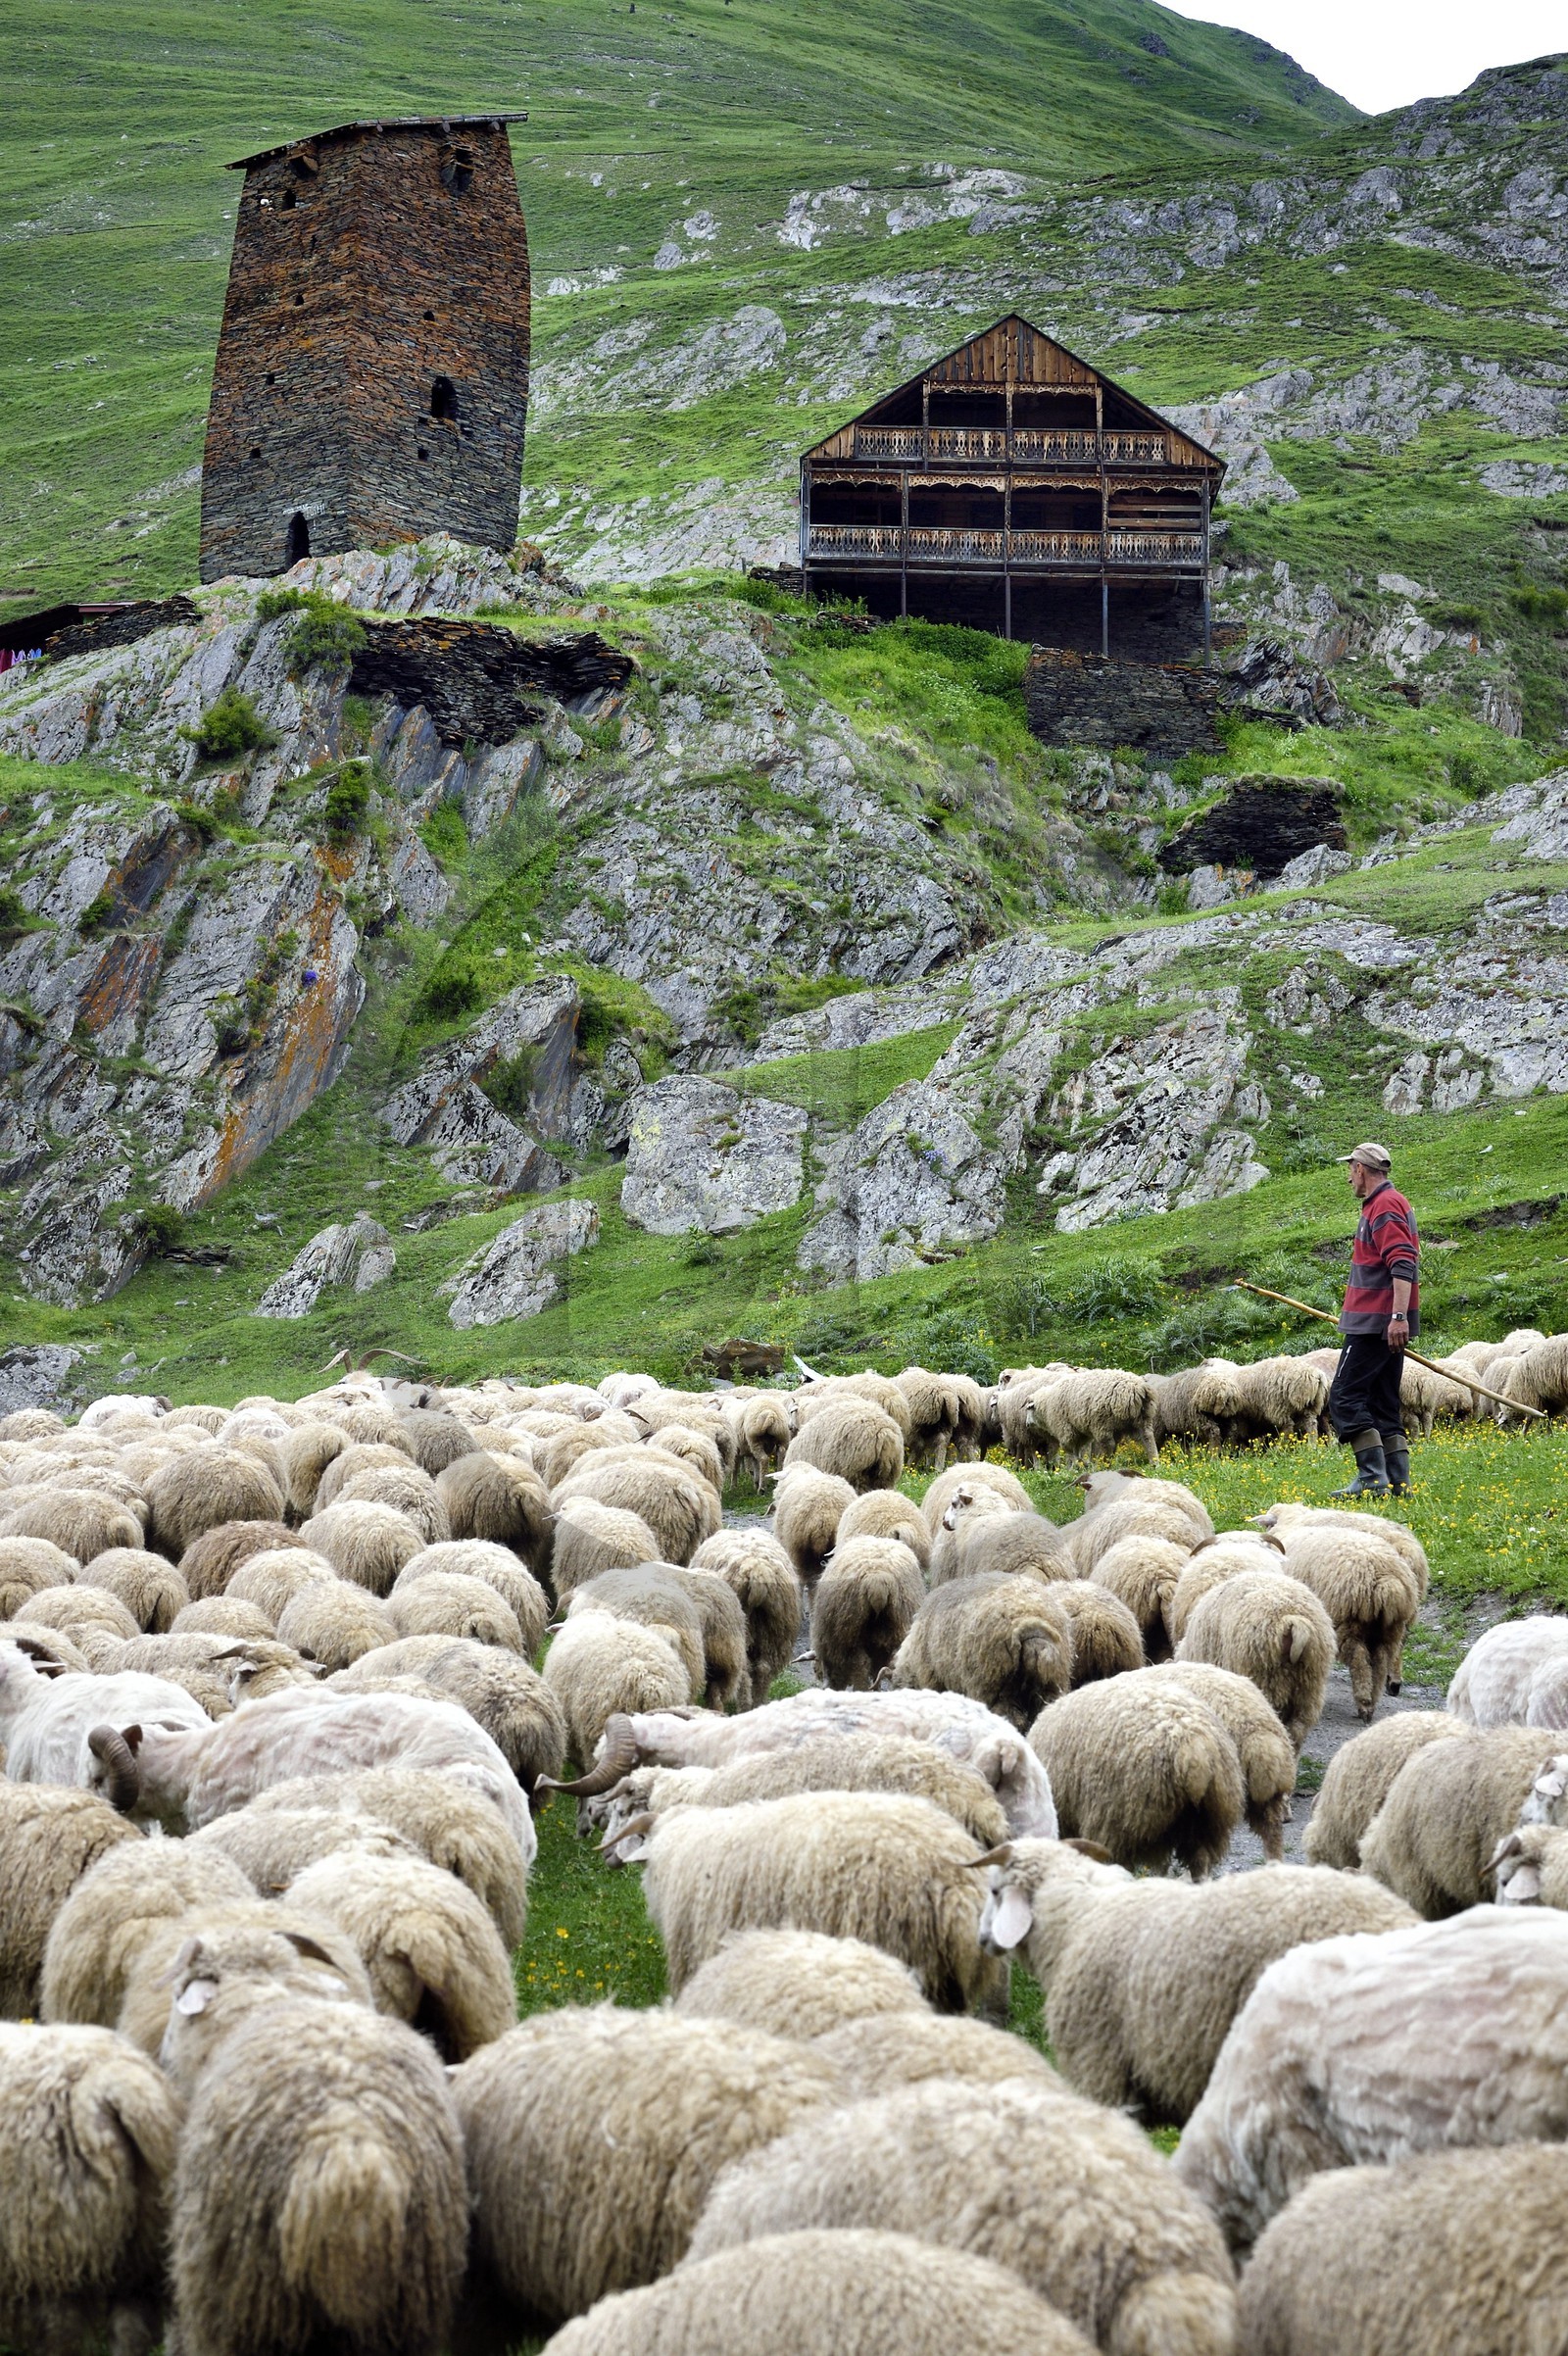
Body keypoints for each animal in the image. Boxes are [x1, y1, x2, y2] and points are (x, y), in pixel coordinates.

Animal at [691, 1528, 803, 1707]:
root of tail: (758, 1572)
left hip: (741, 1629)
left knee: (744, 1672)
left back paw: (743, 1705)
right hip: (776, 1632)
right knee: (763, 1668)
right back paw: (758, 1703)